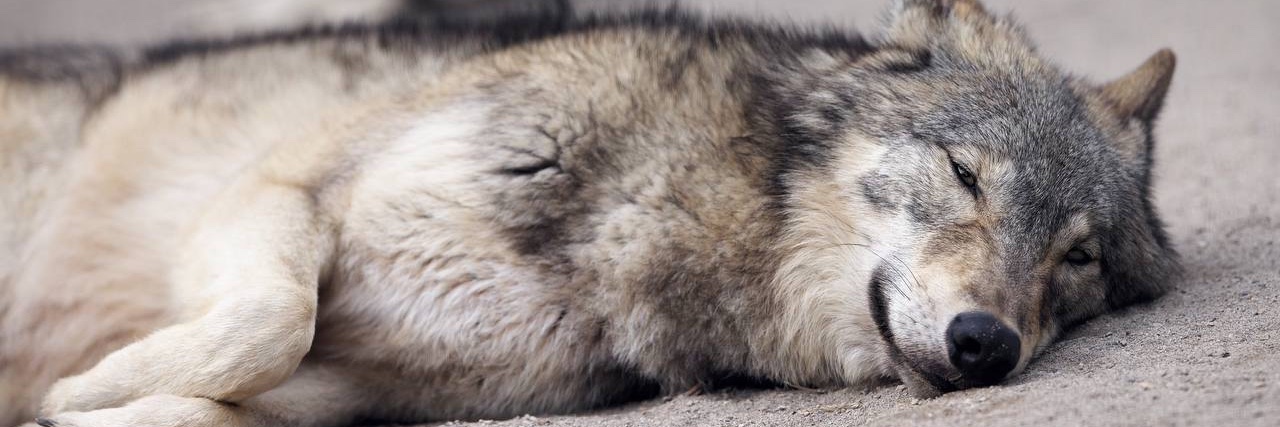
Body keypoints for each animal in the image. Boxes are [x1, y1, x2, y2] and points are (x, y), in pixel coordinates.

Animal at [0, 0, 1180, 425]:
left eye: (1075, 261)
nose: (986, 343)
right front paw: (84, 385)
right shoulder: (276, 189)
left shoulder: (365, 395)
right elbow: (267, 322)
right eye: (966, 174)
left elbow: (220, 399)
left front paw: (94, 405)